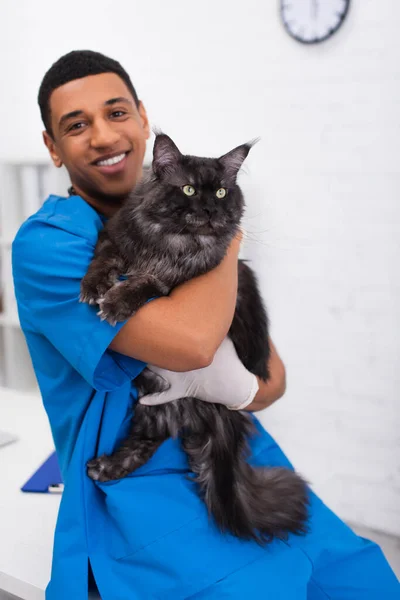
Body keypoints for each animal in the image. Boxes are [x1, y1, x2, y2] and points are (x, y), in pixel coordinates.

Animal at [79, 135, 308, 544]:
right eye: (188, 189)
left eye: (220, 192)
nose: (208, 209)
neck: (173, 243)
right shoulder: (113, 237)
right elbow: (103, 261)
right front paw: (93, 288)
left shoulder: (173, 284)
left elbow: (145, 284)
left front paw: (118, 303)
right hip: (153, 401)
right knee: (148, 440)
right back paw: (106, 468)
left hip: (161, 401)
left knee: (151, 439)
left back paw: (105, 469)